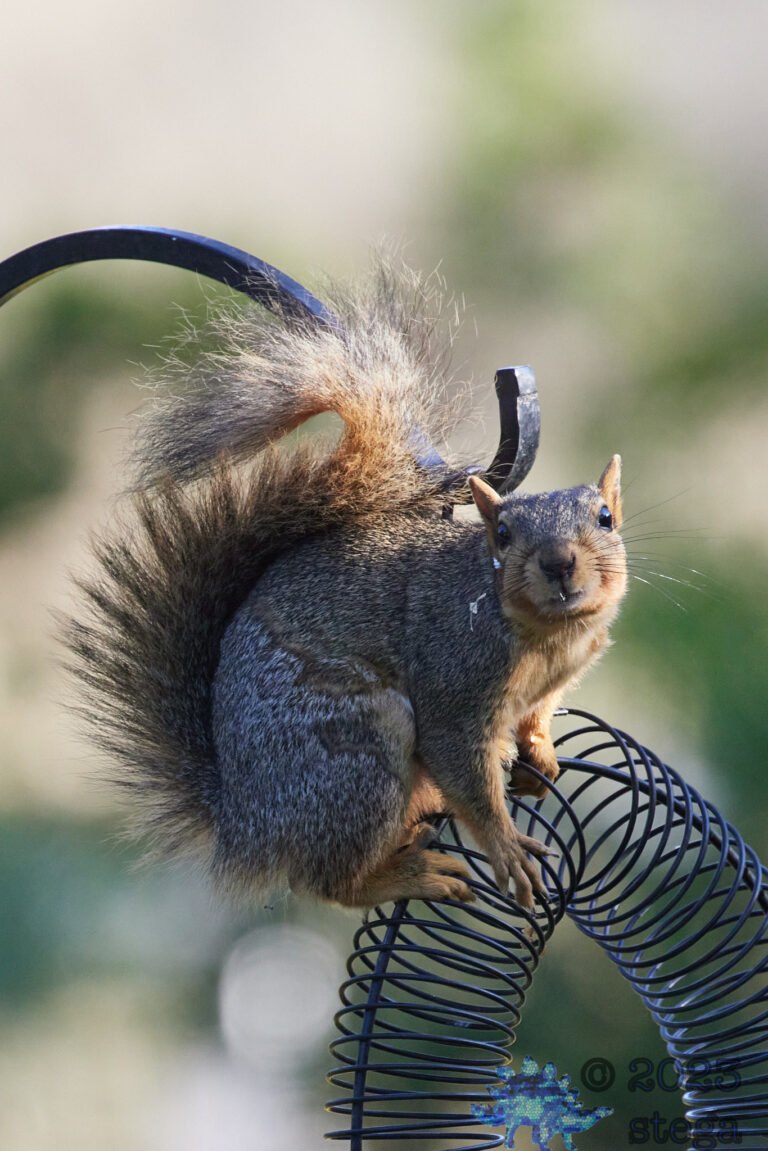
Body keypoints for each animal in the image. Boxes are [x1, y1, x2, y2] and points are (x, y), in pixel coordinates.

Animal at [65, 259, 627, 914]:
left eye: (605, 518)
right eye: (503, 535)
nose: (559, 562)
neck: (548, 636)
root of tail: (246, 824)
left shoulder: (548, 683)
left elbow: (535, 717)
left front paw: (539, 754)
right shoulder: (454, 683)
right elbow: (466, 774)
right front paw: (508, 848)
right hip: (357, 750)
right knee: (329, 883)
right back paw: (408, 876)